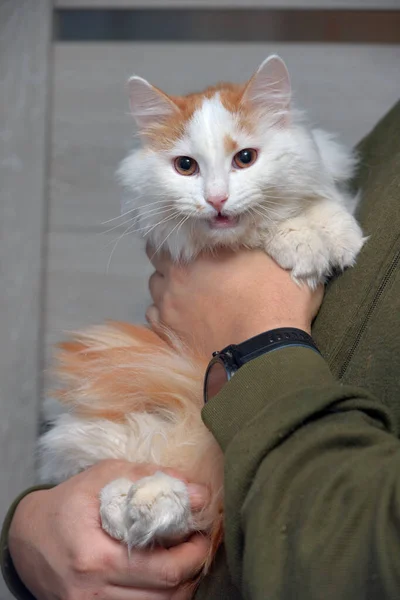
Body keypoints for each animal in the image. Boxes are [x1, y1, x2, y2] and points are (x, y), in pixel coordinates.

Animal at [40, 57, 366, 584]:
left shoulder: (322, 165)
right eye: (185, 167)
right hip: (98, 440)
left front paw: (327, 239)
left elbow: (322, 202)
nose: (216, 200)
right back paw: (136, 506)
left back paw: (146, 506)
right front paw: (297, 242)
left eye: (245, 158)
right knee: (138, 487)